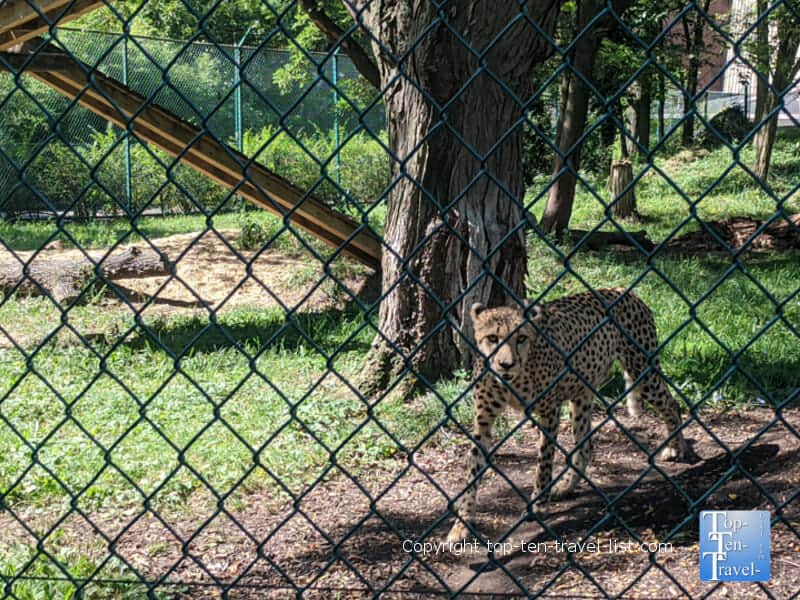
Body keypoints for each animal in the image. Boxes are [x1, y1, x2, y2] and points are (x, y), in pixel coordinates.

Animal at [446, 288, 691, 542]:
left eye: (521, 338)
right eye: (493, 338)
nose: (506, 364)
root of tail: (622, 290)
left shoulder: (549, 412)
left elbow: (544, 463)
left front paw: (538, 506)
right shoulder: (483, 419)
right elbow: (474, 465)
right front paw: (461, 524)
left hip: (642, 371)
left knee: (672, 404)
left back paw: (676, 447)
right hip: (582, 392)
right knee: (586, 445)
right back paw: (566, 486)